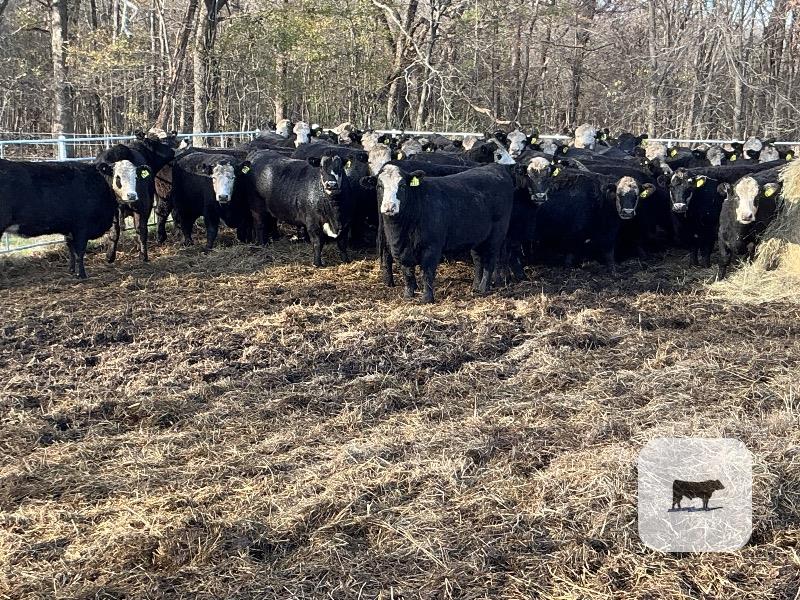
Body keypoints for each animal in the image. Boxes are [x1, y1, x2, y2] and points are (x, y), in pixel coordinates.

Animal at [0, 158, 152, 278]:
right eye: (118, 177)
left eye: (135, 177)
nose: (132, 195)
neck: (99, 182)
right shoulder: (81, 228)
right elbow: (79, 251)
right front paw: (82, 274)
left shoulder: (69, 229)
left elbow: (70, 249)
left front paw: (72, 270)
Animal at [370, 163, 515, 303]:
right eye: (379, 186)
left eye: (402, 186)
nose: (389, 206)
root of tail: (495, 167)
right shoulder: (399, 249)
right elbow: (408, 273)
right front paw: (408, 296)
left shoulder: (431, 246)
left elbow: (427, 273)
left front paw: (427, 299)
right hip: (478, 236)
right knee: (478, 259)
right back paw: (476, 286)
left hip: (496, 234)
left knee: (490, 259)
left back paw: (484, 288)